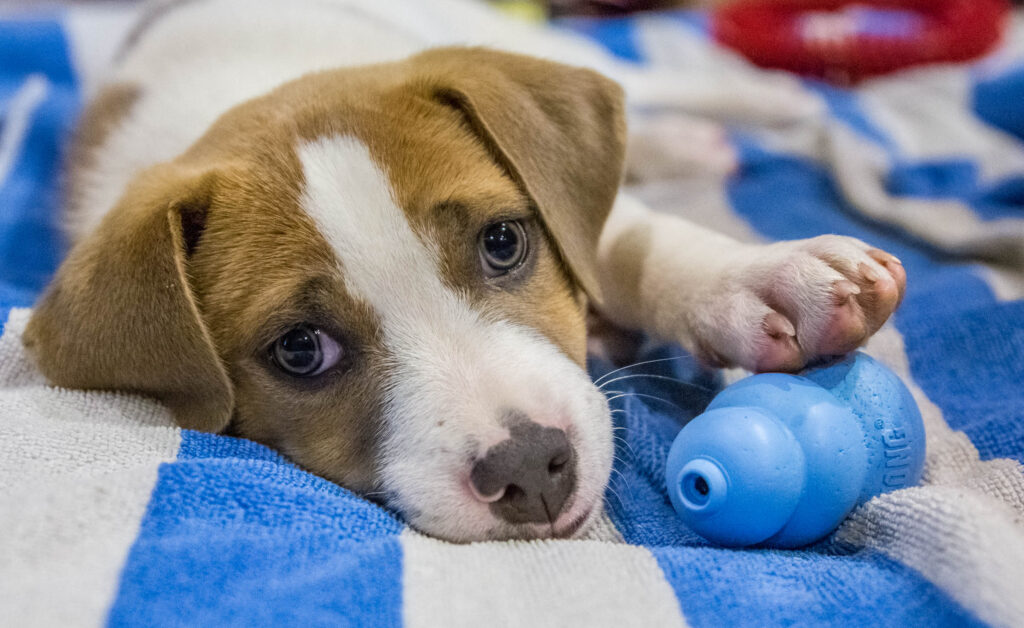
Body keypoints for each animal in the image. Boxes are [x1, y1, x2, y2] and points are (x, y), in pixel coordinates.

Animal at [22, 0, 905, 540]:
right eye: (301, 350)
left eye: (503, 242)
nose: (531, 471)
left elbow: (630, 241)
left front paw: (763, 279)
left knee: (660, 82)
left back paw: (768, 101)